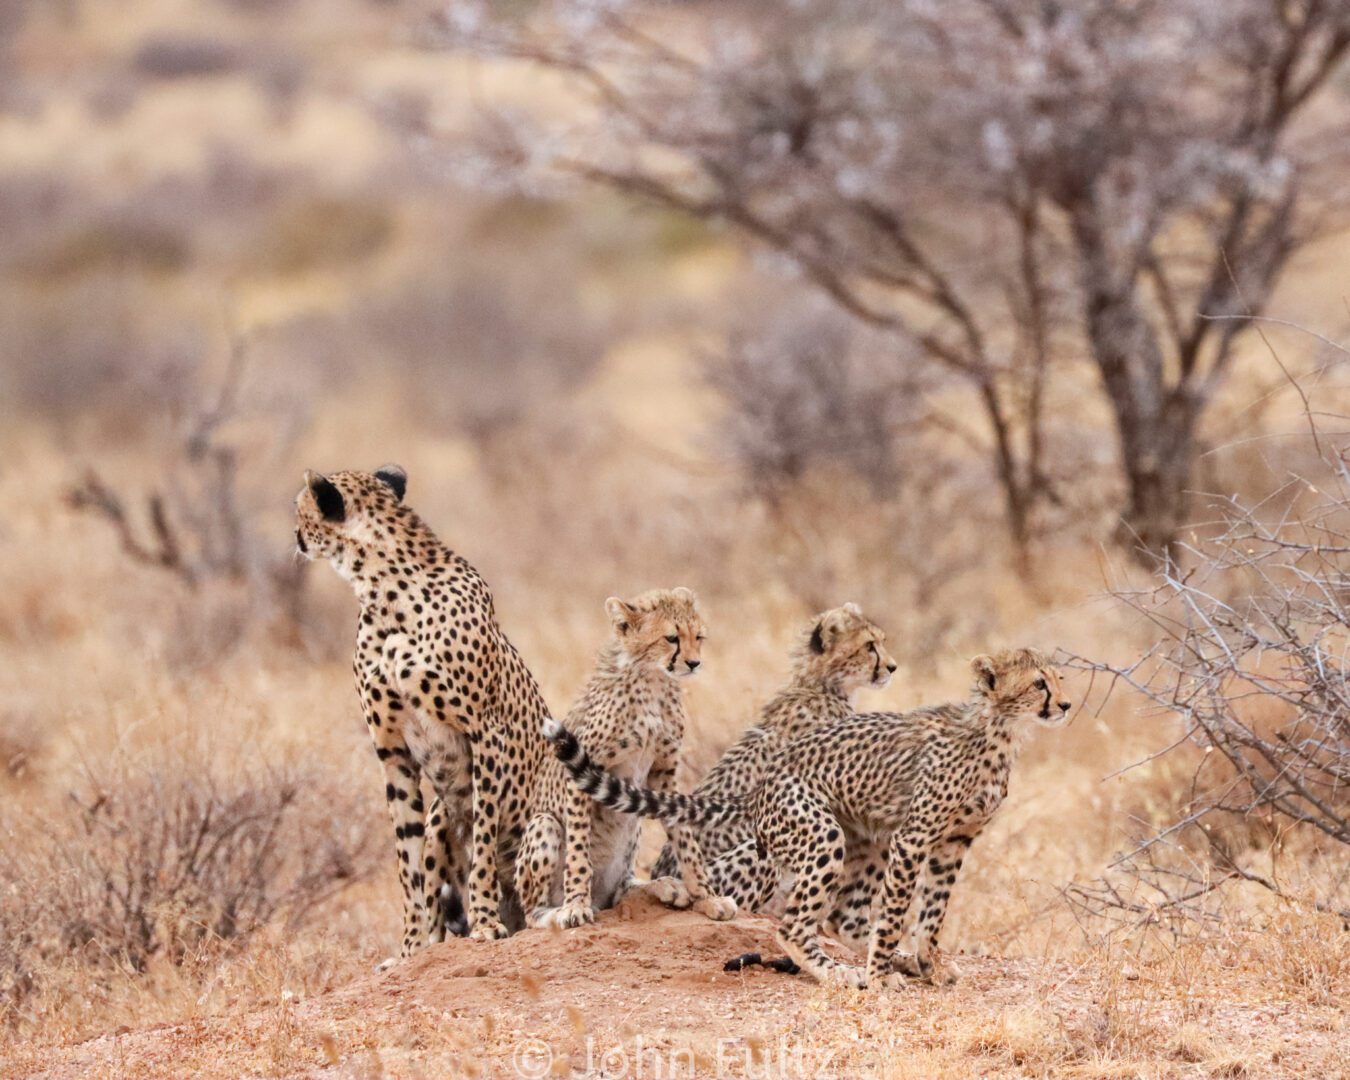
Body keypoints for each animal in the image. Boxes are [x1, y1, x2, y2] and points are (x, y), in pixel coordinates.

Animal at [294, 464, 548, 955]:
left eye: (299, 509)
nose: (294, 536)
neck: (382, 593)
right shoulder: (392, 751)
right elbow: (406, 861)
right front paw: (410, 948)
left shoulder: (486, 732)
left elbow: (483, 840)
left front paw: (485, 921)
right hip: (438, 817)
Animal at [515, 585, 739, 934]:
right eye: (671, 638)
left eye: (698, 636)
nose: (694, 663)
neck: (652, 680)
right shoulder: (580, 769)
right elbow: (579, 851)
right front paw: (575, 905)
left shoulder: (664, 772)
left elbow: (685, 839)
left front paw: (706, 896)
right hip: (544, 823)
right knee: (530, 913)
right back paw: (556, 911)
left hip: (631, 833)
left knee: (623, 890)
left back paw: (663, 886)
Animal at [542, 645, 1069, 993]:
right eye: (1039, 683)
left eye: (1059, 679)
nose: (1065, 704)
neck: (998, 731)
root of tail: (760, 786)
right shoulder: (915, 837)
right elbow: (897, 911)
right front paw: (881, 976)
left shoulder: (954, 841)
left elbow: (933, 911)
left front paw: (927, 963)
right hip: (821, 832)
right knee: (794, 925)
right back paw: (842, 972)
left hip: (866, 836)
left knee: (842, 918)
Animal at [645, 602, 896, 918]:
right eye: (869, 646)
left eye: (881, 642)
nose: (892, 667)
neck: (819, 684)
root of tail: (659, 874)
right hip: (757, 854)